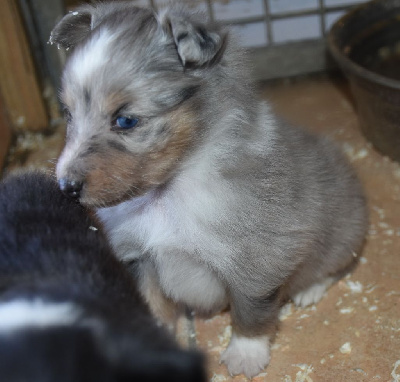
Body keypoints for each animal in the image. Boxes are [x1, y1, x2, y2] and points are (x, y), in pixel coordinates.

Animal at [50, 2, 368, 380]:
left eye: (125, 120)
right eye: (68, 113)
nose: (66, 187)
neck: (168, 191)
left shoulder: (257, 259)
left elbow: (251, 311)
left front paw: (245, 356)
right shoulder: (139, 257)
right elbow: (152, 303)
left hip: (345, 234)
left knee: (336, 265)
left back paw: (309, 290)